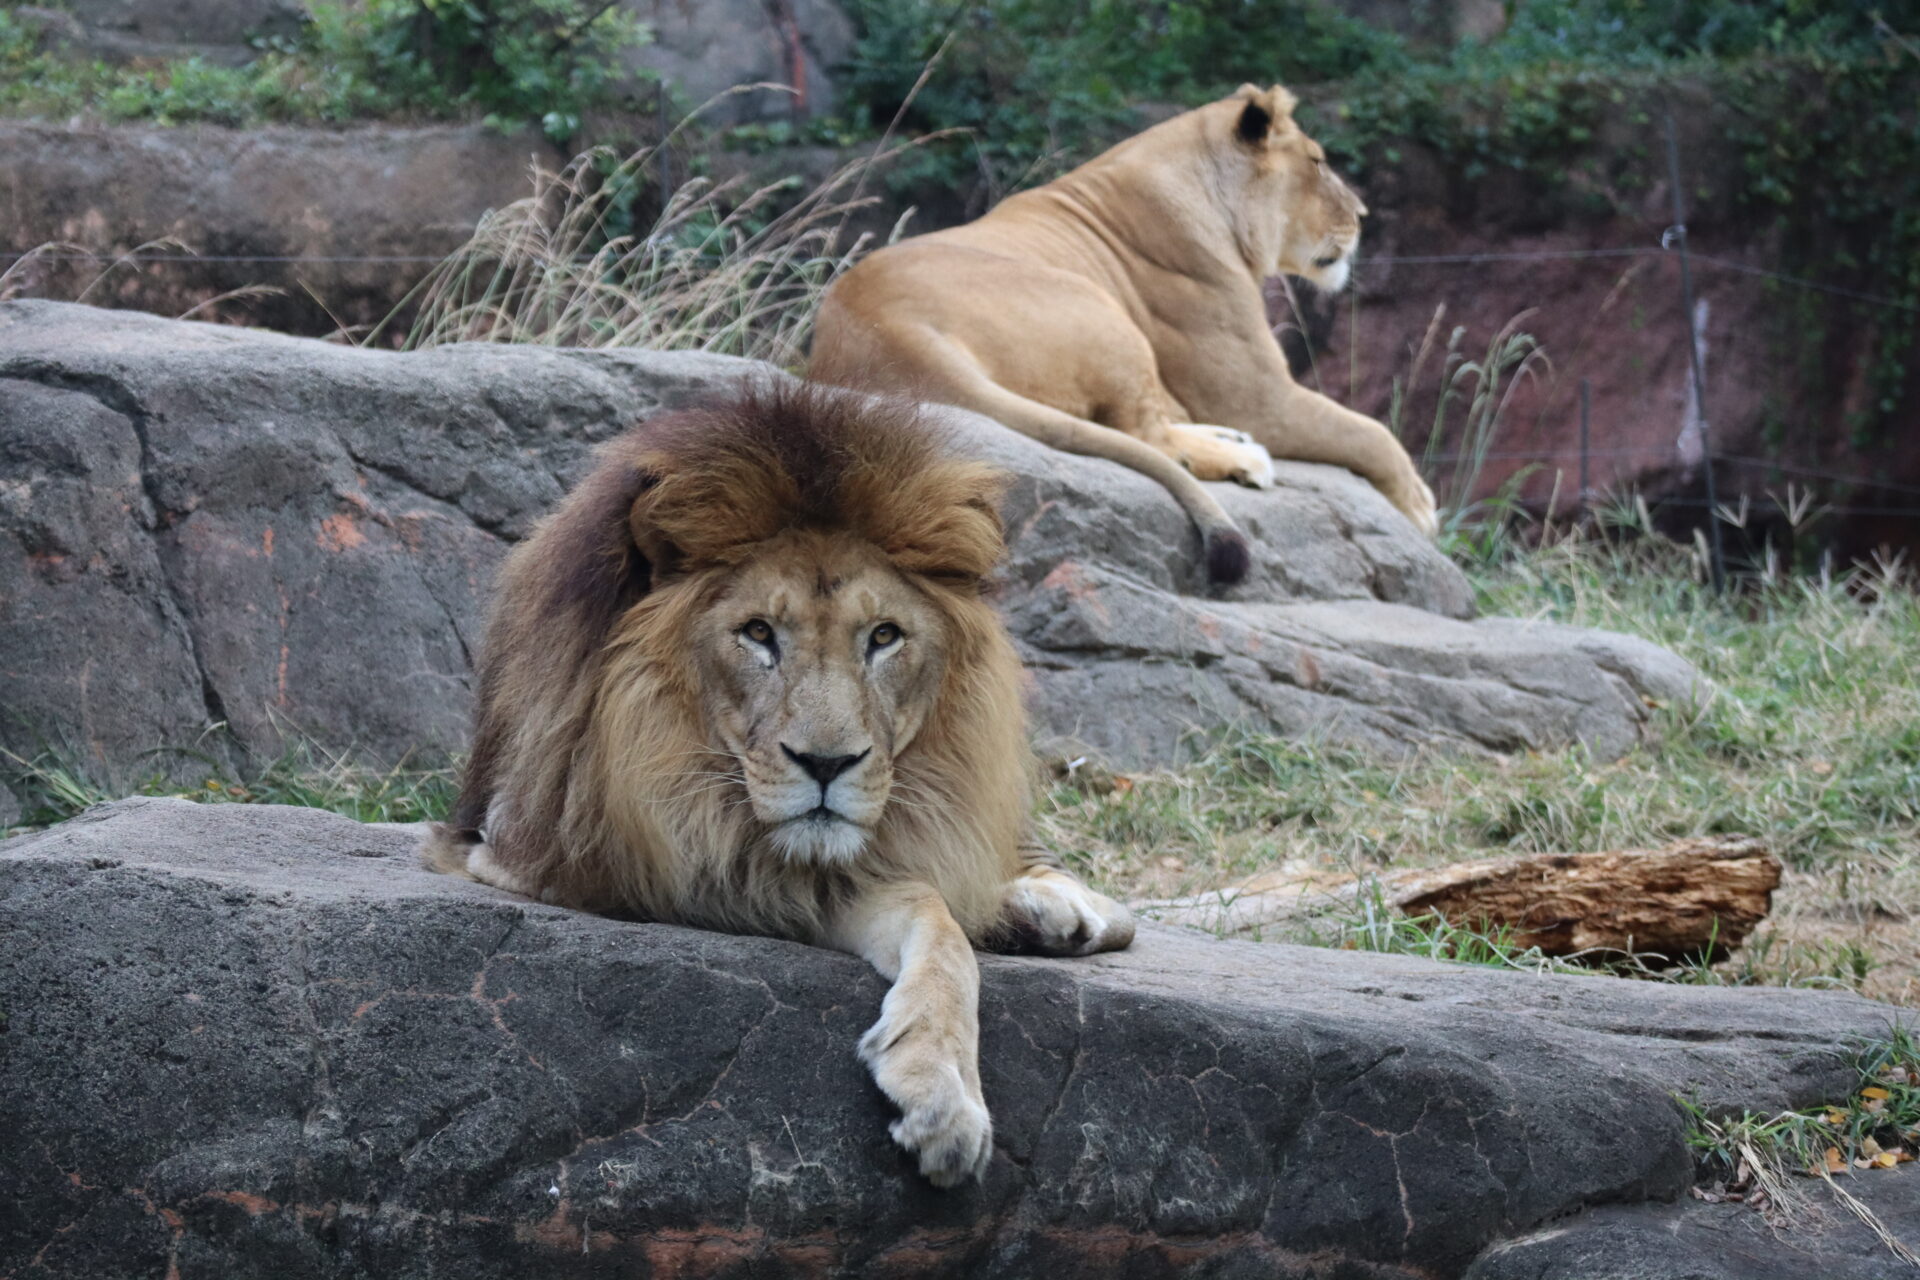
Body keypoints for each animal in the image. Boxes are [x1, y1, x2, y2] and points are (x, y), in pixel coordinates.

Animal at [428, 383, 1128, 1189]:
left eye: (883, 637)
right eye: (759, 633)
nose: (827, 764)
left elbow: (943, 927)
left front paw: (944, 1094)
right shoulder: (563, 857)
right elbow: (933, 908)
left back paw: (1053, 908)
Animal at [810, 78, 1443, 579]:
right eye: (1317, 162)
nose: (1362, 216)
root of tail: (886, 332)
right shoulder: (1257, 396)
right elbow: (1370, 432)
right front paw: (1420, 507)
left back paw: (1232, 443)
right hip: (1100, 310)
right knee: (1146, 433)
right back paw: (1244, 457)